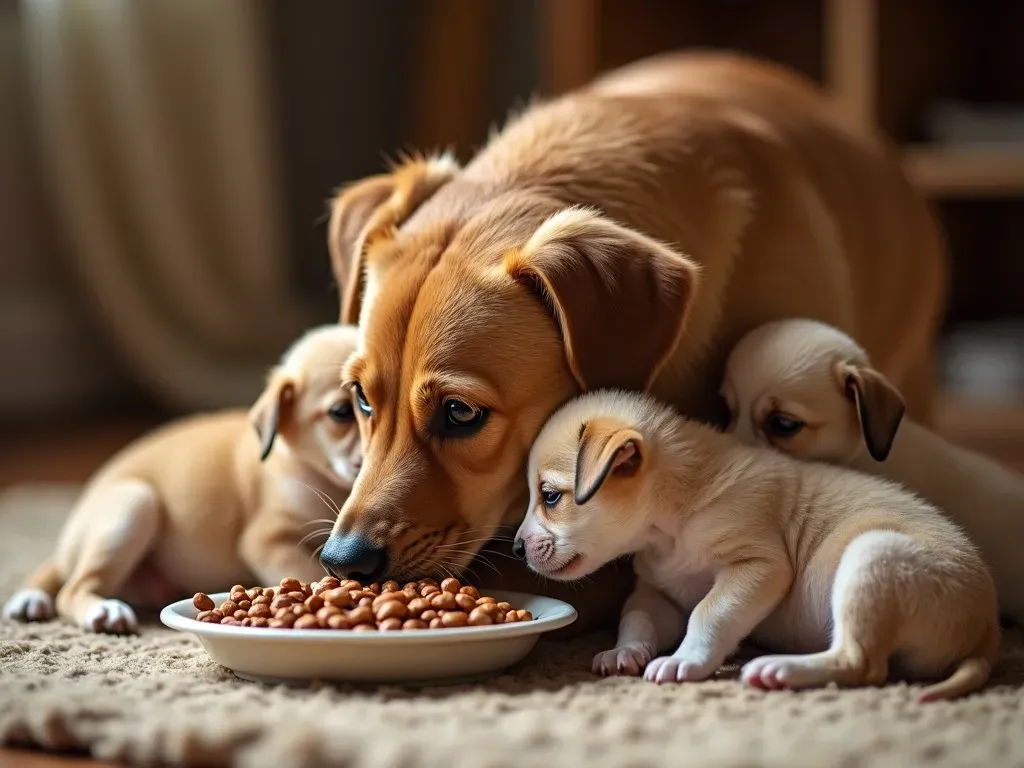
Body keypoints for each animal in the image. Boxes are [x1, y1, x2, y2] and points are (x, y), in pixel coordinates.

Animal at [2, 325, 362, 630]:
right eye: (342, 412)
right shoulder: (266, 541)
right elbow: (309, 571)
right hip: (135, 505)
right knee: (73, 589)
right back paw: (102, 610)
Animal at [516, 391, 995, 704]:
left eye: (551, 496)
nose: (518, 548)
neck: (675, 517)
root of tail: (986, 635)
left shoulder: (757, 567)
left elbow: (709, 614)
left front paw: (684, 660)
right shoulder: (659, 594)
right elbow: (637, 619)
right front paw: (625, 653)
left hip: (871, 556)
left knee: (862, 664)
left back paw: (781, 669)